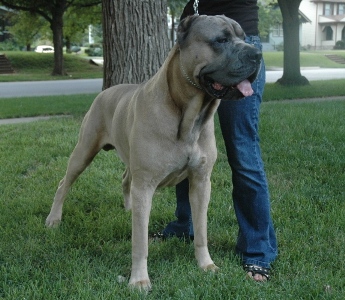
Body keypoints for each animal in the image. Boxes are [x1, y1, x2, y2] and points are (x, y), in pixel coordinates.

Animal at [46, 15, 260, 290]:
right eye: (221, 40)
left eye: (244, 38)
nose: (257, 54)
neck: (187, 115)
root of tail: (106, 91)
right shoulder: (146, 183)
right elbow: (140, 242)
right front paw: (139, 279)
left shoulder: (201, 182)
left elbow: (201, 230)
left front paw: (206, 265)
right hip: (84, 151)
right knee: (64, 183)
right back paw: (54, 219)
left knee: (125, 179)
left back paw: (128, 208)